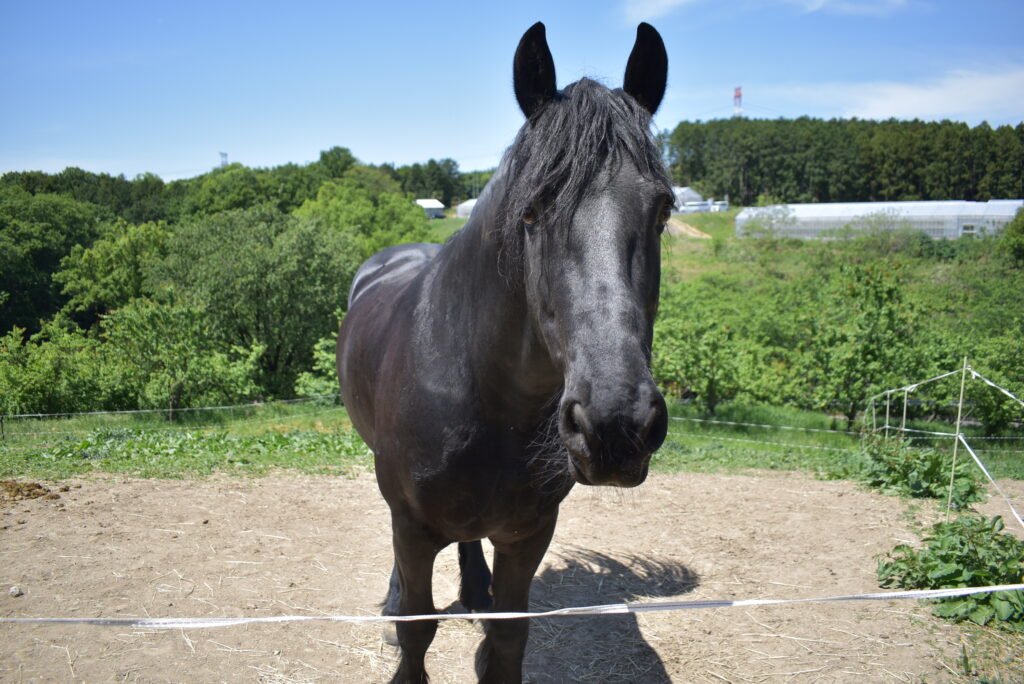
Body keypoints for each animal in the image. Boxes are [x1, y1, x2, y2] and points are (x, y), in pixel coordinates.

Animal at [335, 21, 671, 684]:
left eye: (664, 209)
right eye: (532, 211)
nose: (615, 424)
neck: (483, 396)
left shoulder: (528, 534)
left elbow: (508, 638)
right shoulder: (411, 528)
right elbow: (416, 630)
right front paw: (400, 623)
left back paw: (474, 588)